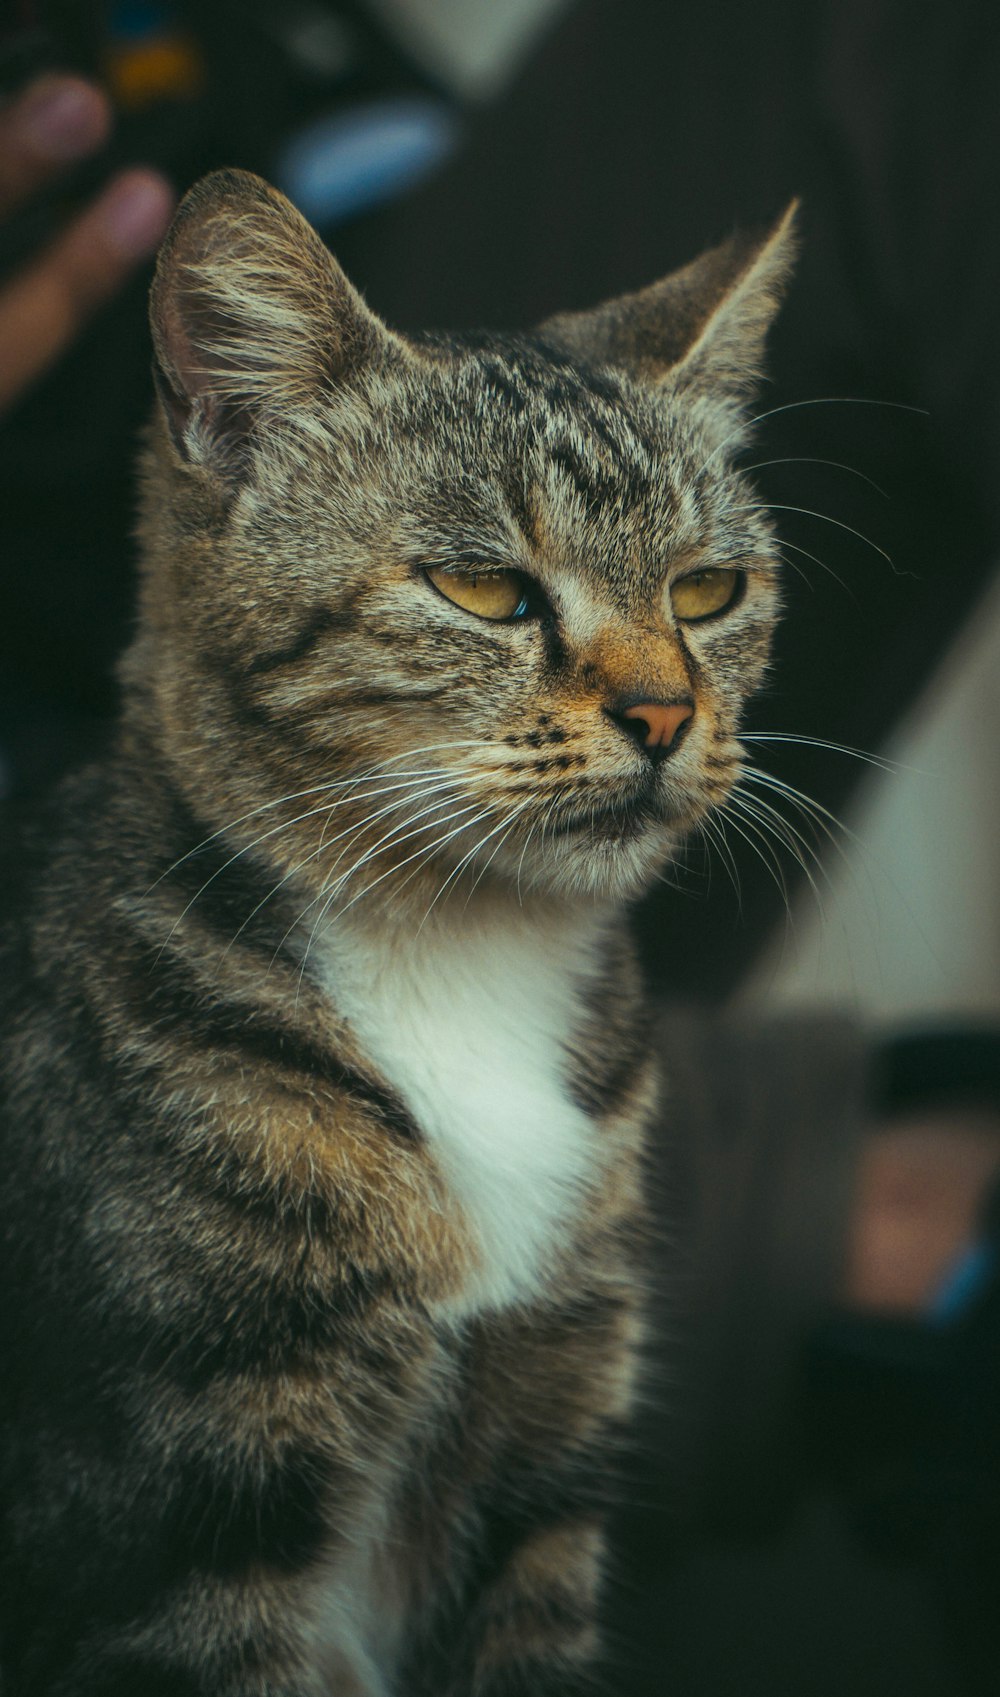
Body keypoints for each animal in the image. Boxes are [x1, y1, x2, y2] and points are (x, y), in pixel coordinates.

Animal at [1, 175, 794, 1697]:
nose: (668, 714)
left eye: (706, 592)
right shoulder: (173, 1541)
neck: (460, 958)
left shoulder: (548, 1445)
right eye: (484, 589)